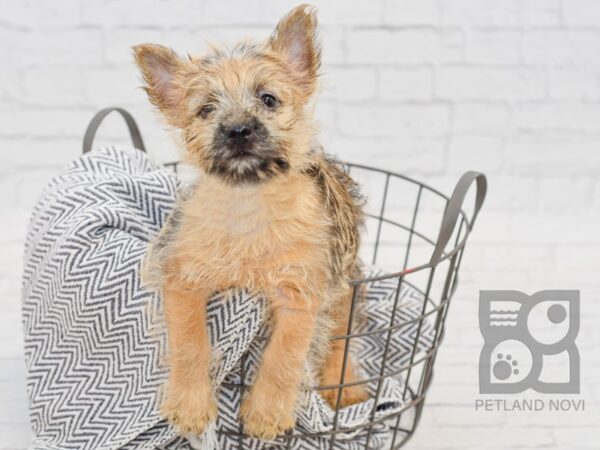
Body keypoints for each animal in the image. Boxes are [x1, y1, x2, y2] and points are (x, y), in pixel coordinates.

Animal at [135, 3, 368, 440]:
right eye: (206, 110)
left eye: (268, 99)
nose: (238, 130)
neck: (249, 203)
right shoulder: (182, 276)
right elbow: (189, 342)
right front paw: (190, 406)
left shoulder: (301, 291)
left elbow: (284, 355)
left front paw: (266, 414)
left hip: (346, 294)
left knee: (338, 344)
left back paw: (346, 390)